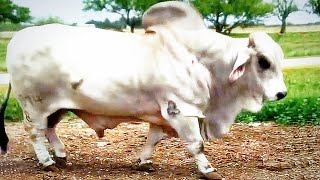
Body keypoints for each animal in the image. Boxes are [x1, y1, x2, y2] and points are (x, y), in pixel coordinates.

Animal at [0, 1, 286, 179]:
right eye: (263, 61)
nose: (281, 94)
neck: (204, 64)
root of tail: (18, 38)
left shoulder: (162, 113)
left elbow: (154, 139)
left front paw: (144, 162)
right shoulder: (181, 111)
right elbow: (197, 145)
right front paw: (207, 170)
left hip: (57, 106)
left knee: (49, 129)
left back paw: (60, 155)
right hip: (34, 105)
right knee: (35, 133)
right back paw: (47, 162)